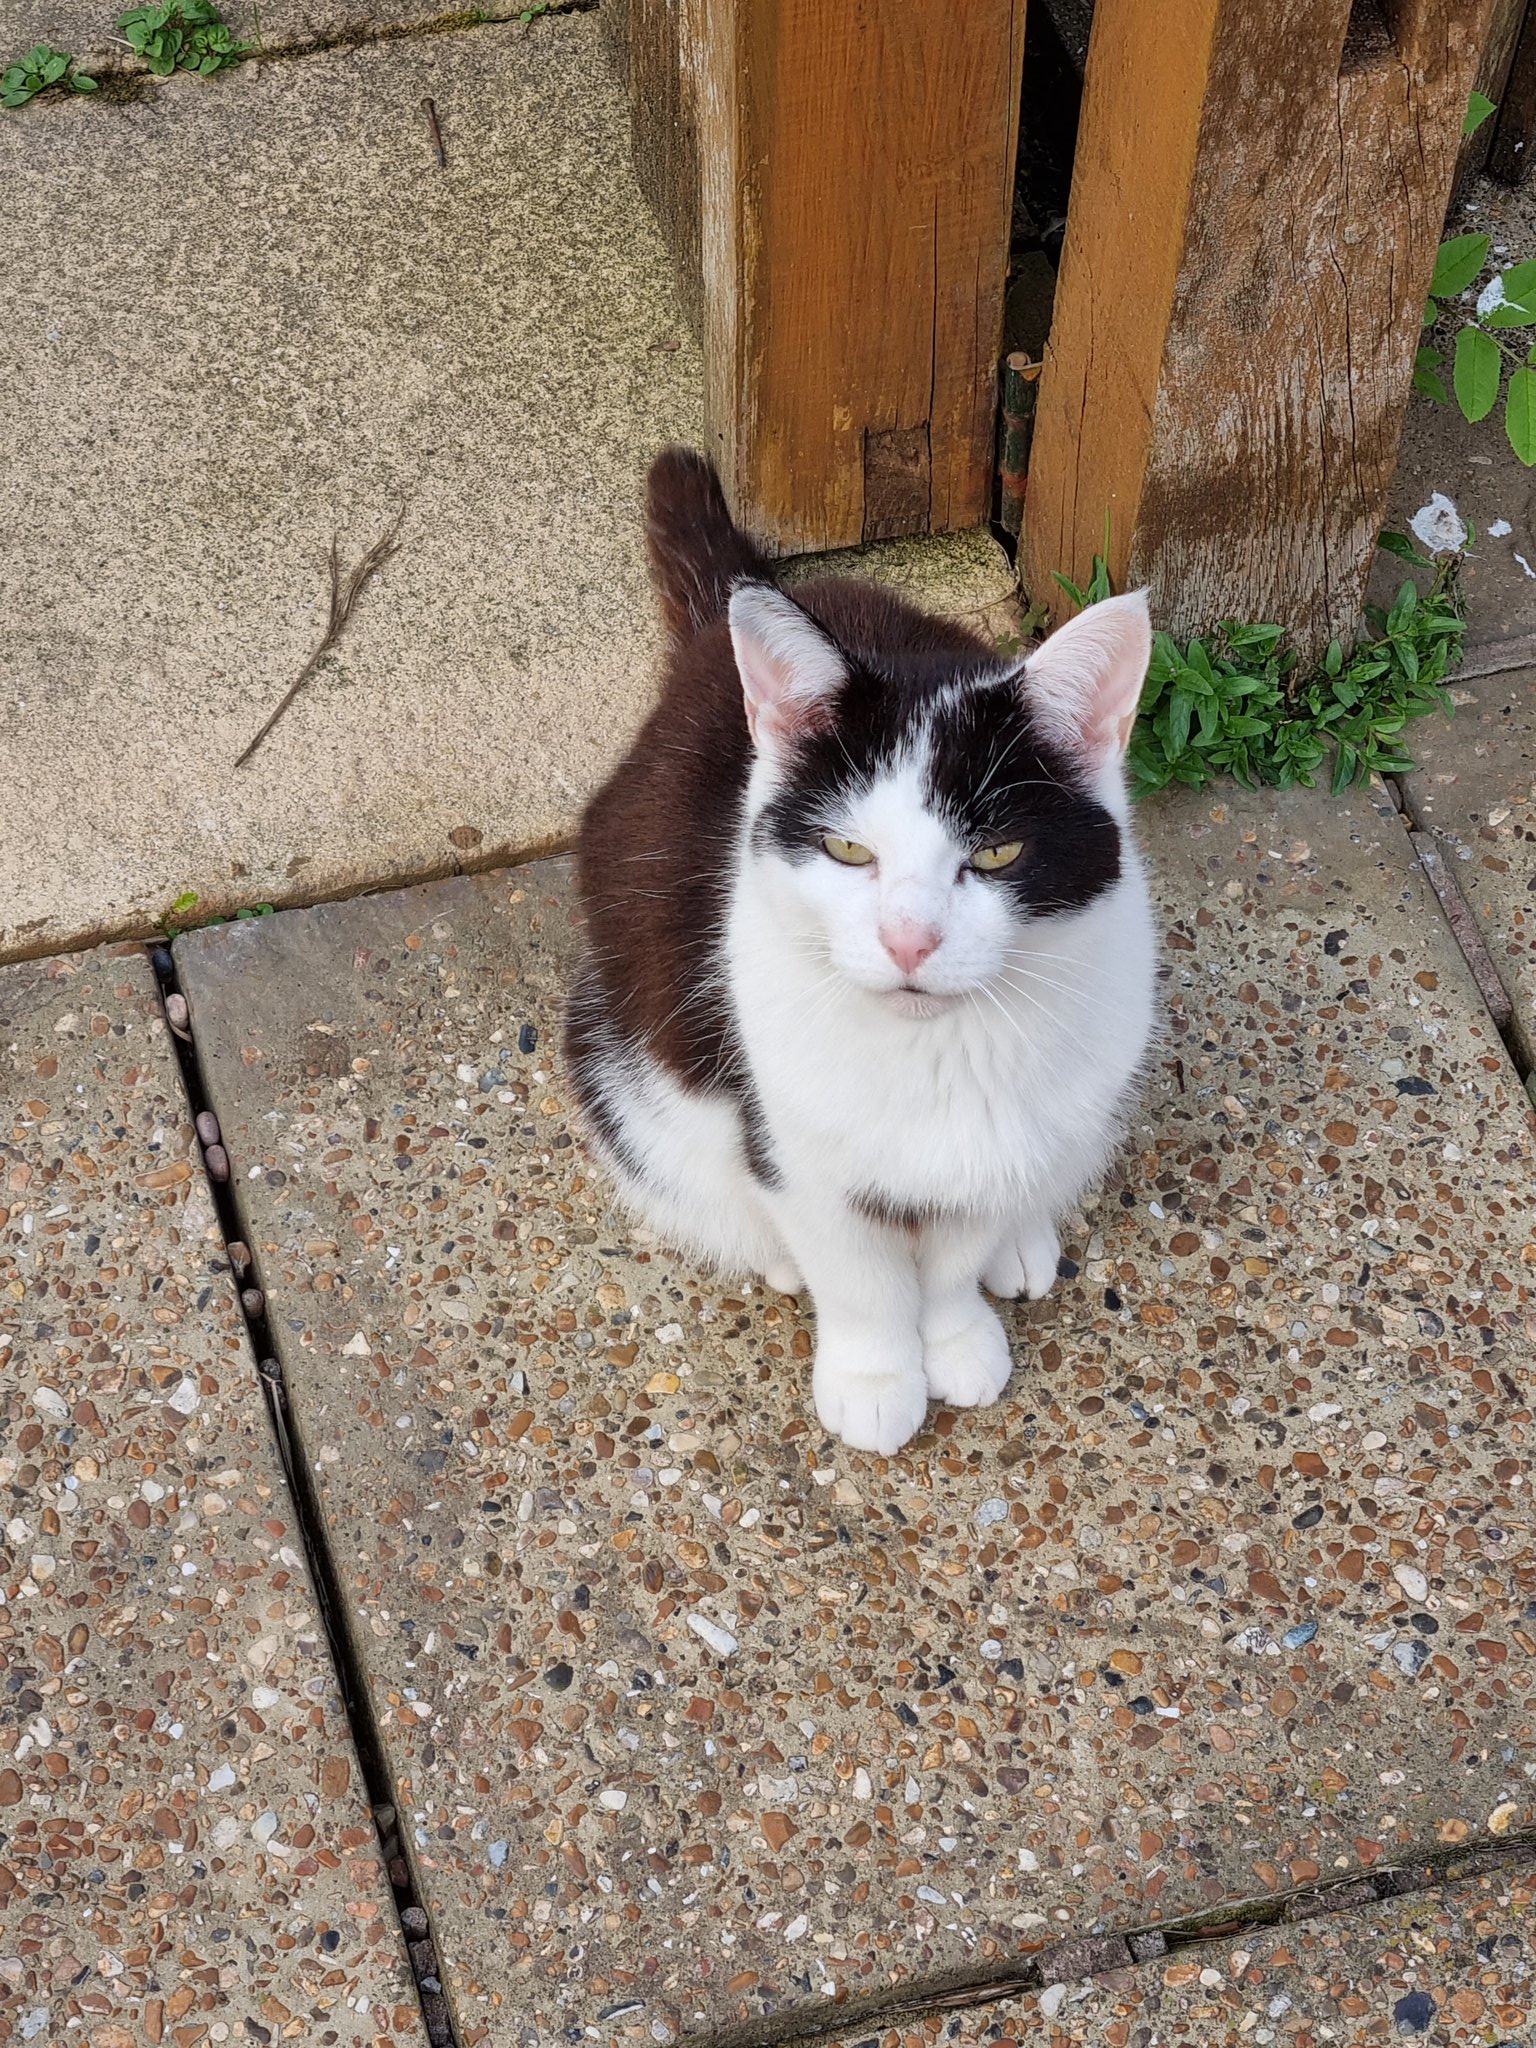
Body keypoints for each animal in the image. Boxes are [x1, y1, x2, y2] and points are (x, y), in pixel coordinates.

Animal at [566, 448, 1158, 1455]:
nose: (909, 939)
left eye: (995, 854)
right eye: (849, 849)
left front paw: (956, 1338)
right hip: (629, 1057)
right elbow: (859, 1272)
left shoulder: (995, 1146)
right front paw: (875, 1376)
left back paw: (1025, 1238)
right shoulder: (789, 1139)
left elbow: (952, 1255)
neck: (935, 1055)